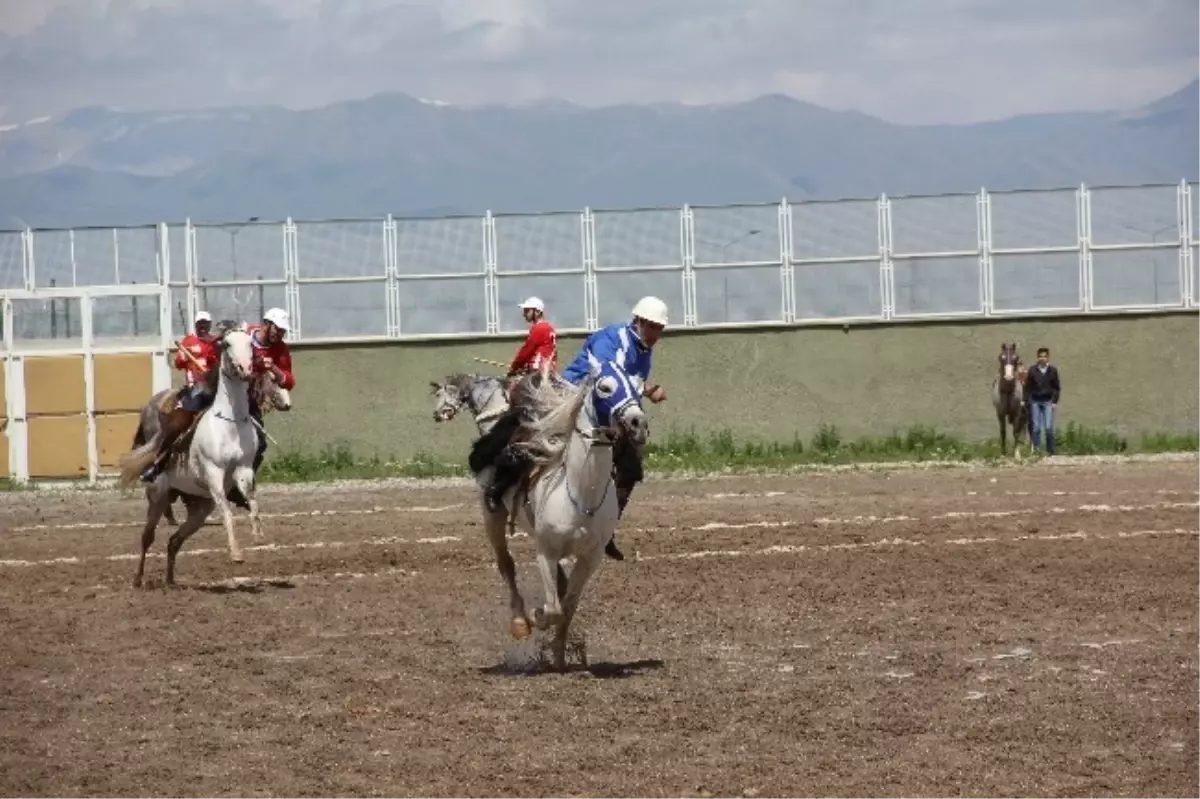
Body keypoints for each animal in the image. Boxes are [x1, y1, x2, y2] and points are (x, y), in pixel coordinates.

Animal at [115, 326, 265, 587]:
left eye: (249, 344)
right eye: (226, 343)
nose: (244, 369)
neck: (231, 423)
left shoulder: (244, 470)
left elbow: (253, 503)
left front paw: (257, 535)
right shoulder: (214, 474)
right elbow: (227, 512)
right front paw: (236, 554)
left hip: (199, 509)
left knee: (174, 541)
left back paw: (170, 580)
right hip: (158, 497)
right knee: (147, 537)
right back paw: (138, 579)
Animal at [475, 359, 648, 667]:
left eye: (637, 386)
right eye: (605, 388)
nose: (637, 423)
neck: (581, 493)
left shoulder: (590, 558)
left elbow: (568, 605)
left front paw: (558, 653)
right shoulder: (546, 552)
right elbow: (554, 608)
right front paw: (536, 617)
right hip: (492, 519)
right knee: (506, 564)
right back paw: (520, 620)